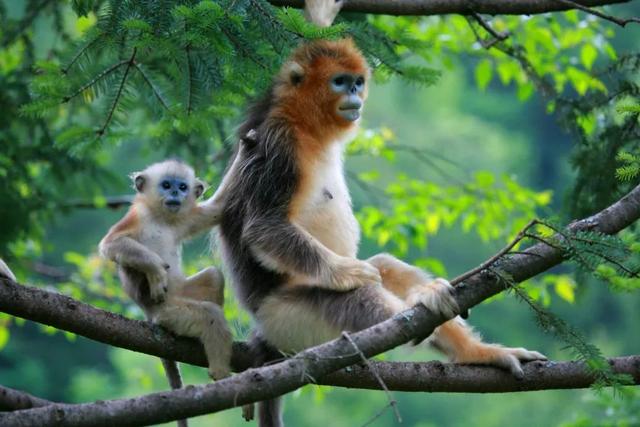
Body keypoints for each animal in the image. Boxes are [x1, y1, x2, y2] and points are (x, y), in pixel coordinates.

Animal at [99, 159, 231, 386]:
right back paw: (220, 373)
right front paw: (156, 271)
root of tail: (149, 313)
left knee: (214, 276)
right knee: (209, 313)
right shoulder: (138, 216)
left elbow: (217, 207)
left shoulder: (185, 219)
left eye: (183, 187)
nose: (176, 193)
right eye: (167, 185)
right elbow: (110, 244)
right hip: (168, 313)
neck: (161, 218)